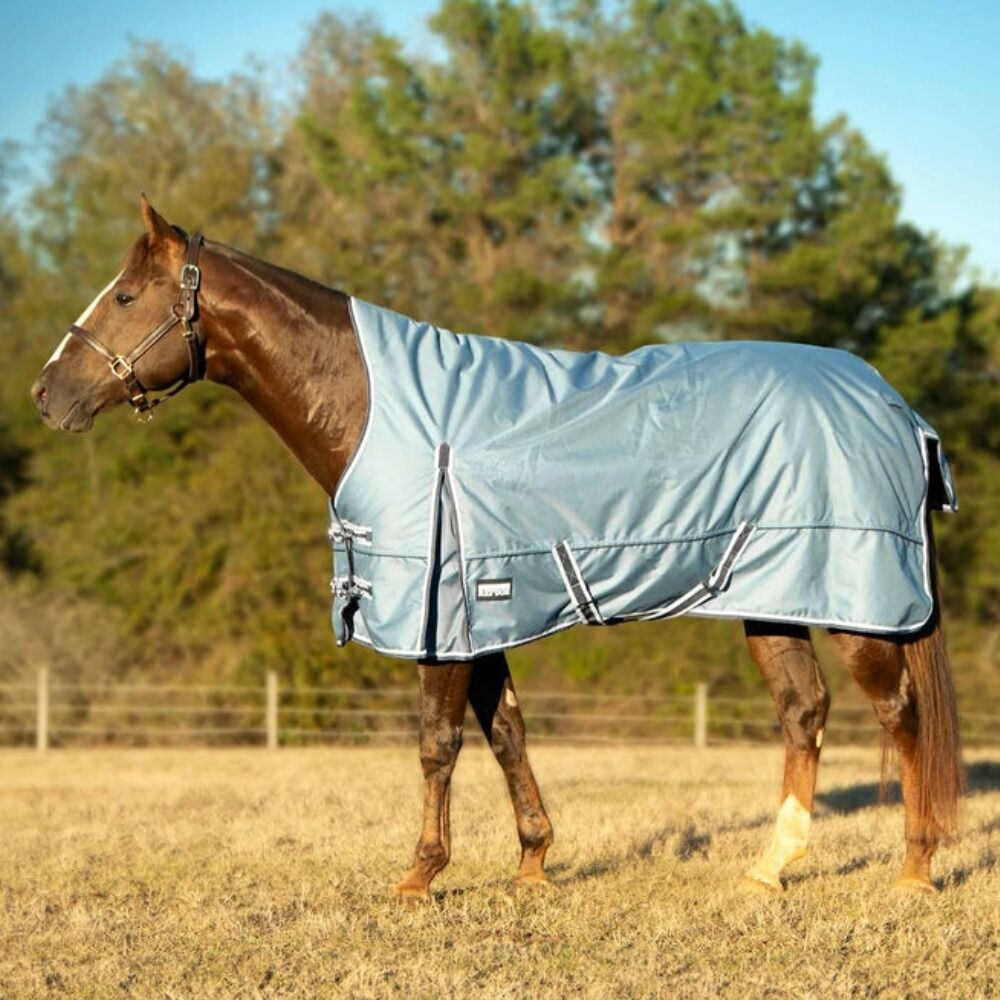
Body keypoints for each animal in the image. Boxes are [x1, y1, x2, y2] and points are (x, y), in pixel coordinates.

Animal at [31, 196, 964, 898]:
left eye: (124, 297)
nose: (47, 394)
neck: (379, 411)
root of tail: (894, 405)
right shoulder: (480, 616)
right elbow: (506, 731)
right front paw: (533, 862)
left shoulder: (438, 615)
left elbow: (438, 743)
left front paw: (419, 877)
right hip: (771, 598)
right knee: (804, 712)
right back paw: (770, 869)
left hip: (858, 602)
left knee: (899, 716)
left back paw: (914, 870)